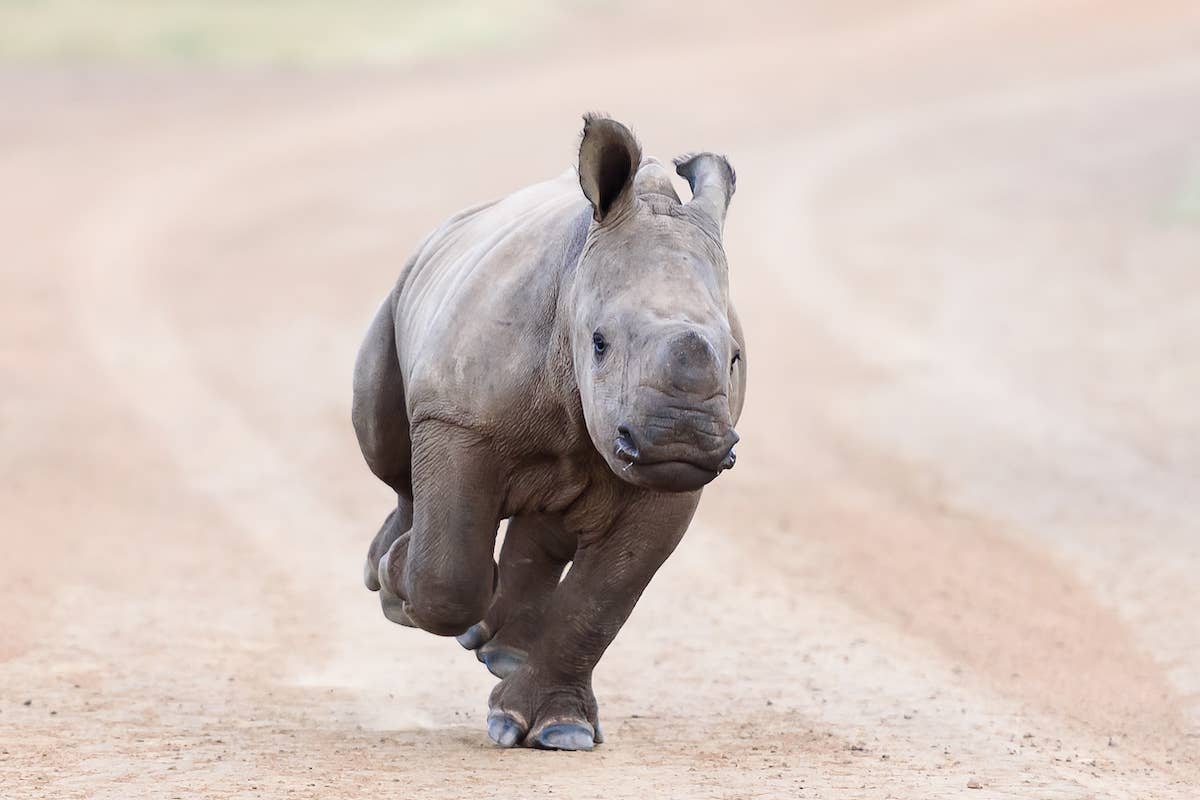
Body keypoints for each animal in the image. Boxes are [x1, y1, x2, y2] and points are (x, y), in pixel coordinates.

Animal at [352, 115, 746, 750]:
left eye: (734, 358)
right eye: (599, 343)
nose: (679, 439)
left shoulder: (675, 487)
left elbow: (602, 602)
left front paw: (557, 731)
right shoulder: (459, 419)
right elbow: (448, 575)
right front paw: (404, 583)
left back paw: (500, 652)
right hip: (405, 290)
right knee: (392, 453)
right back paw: (389, 577)